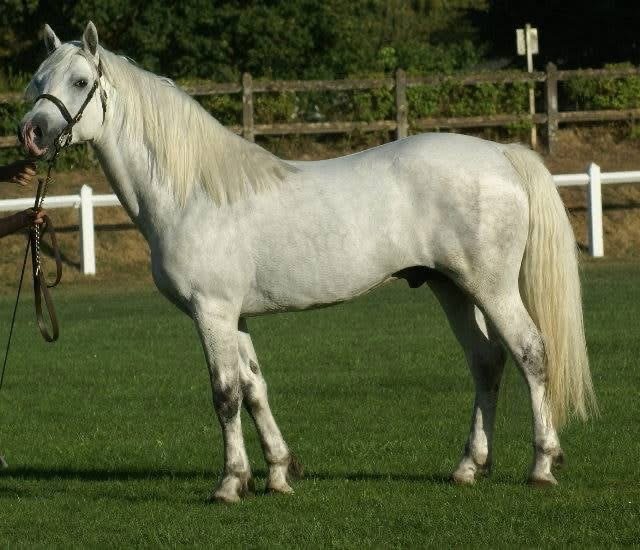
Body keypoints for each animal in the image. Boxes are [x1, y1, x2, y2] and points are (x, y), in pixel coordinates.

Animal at [19, 22, 596, 503]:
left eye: (79, 81)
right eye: (36, 80)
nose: (32, 133)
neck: (194, 192)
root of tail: (500, 154)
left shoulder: (212, 311)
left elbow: (225, 394)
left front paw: (229, 483)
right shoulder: (235, 316)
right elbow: (255, 388)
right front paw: (276, 473)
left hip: (491, 286)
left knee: (530, 353)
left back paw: (542, 465)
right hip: (450, 287)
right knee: (486, 361)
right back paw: (469, 467)